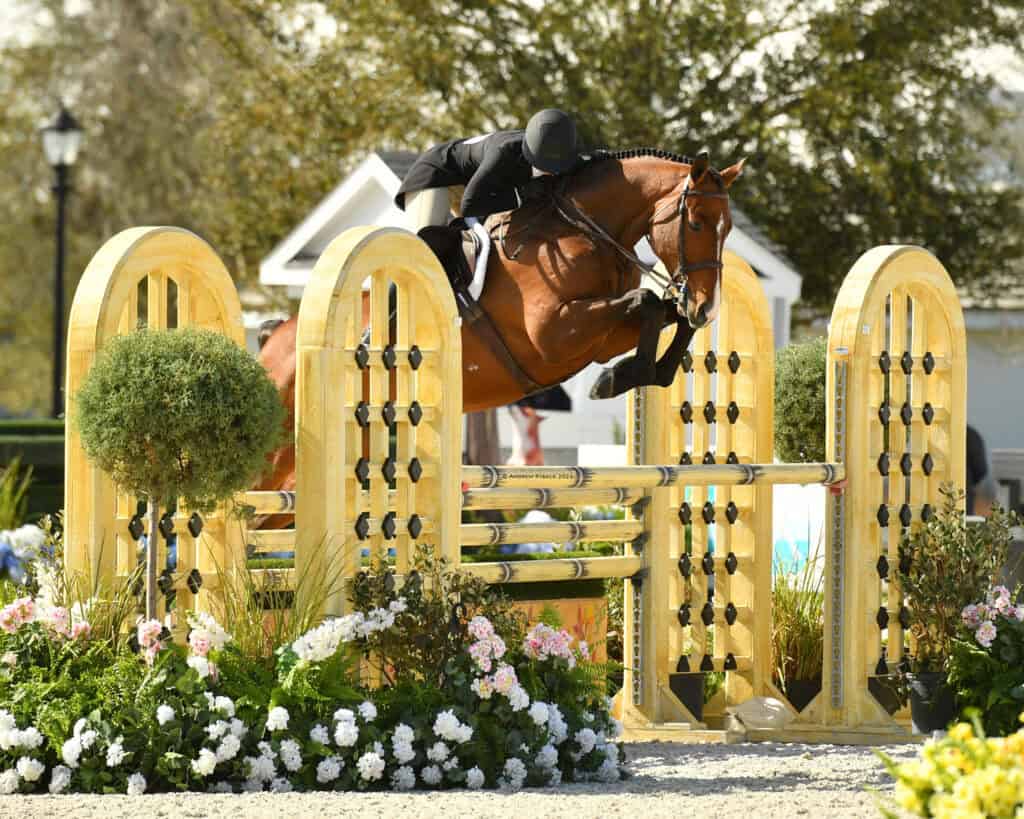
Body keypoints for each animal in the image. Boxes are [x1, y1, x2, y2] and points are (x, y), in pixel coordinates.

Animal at [254, 150, 744, 527]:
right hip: (278, 452)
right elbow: (647, 301)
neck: (584, 233)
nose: (707, 306)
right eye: (696, 223)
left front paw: (632, 373)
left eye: (728, 229)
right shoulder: (554, 335)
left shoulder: (600, 337)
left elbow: (662, 312)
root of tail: (276, 339)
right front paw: (620, 376)